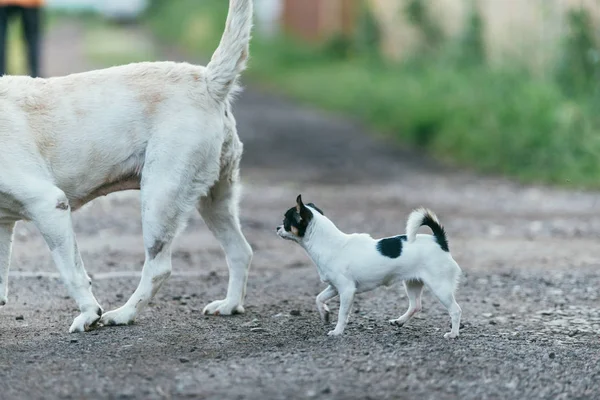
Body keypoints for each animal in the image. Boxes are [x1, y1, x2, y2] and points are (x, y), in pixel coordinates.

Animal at [0, 0, 255, 332]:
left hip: (159, 199)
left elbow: (72, 273)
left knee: (159, 268)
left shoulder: (49, 204)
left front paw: (89, 315)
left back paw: (123, 314)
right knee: (240, 251)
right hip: (215, 201)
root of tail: (208, 81)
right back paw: (229, 305)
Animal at [276, 195, 464, 340]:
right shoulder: (334, 287)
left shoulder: (346, 291)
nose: (277, 227)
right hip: (412, 282)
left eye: (286, 220)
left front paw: (337, 331)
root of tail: (439, 240)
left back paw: (453, 334)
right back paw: (399, 321)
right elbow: (319, 298)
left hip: (439, 287)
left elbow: (342, 314)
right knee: (416, 305)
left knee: (455, 310)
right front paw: (325, 314)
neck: (328, 244)